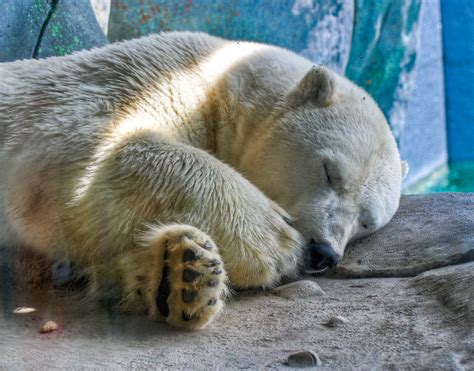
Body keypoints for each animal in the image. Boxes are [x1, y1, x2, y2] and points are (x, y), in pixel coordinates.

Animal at [0, 31, 408, 328]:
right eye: (329, 172)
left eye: (367, 222)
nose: (324, 252)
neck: (217, 82)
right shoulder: (124, 85)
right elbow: (97, 149)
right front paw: (275, 241)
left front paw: (178, 273)